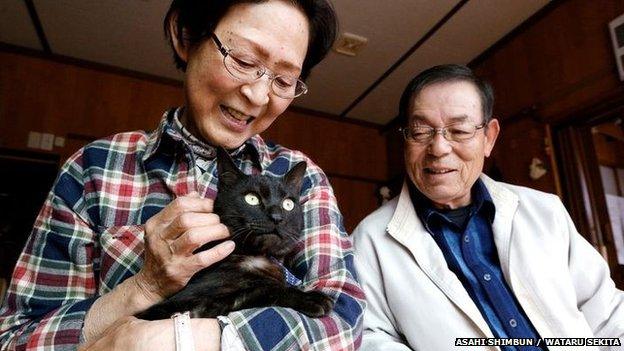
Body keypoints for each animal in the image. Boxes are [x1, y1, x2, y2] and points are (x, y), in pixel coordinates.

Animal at [135, 148, 334, 322]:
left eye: (288, 204)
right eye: (251, 198)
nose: (277, 217)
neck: (254, 256)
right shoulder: (185, 306)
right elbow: (262, 291)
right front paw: (312, 298)